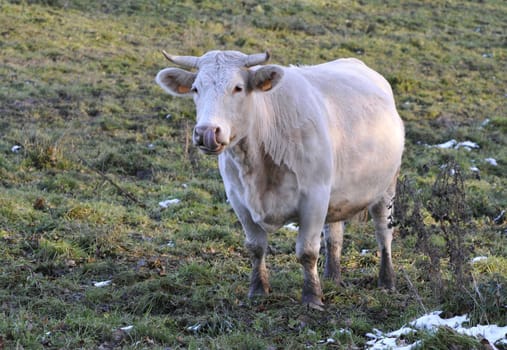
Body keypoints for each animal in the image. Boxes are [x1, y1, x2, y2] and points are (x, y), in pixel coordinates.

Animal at [155, 50, 404, 308]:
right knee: (334, 235)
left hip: (387, 188)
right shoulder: (238, 199)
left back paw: (387, 281)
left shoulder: (314, 197)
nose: (206, 132)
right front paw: (258, 289)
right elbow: (256, 247)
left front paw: (312, 298)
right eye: (195, 88)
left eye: (238, 87)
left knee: (383, 233)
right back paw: (332, 277)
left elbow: (307, 252)